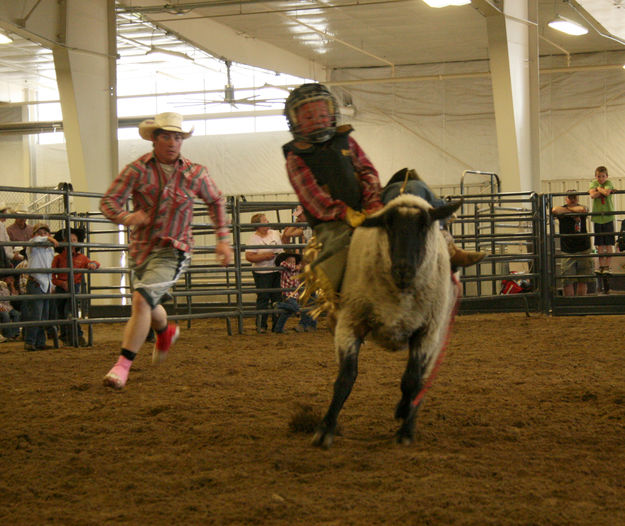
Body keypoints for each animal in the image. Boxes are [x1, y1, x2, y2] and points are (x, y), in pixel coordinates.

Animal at [312, 194, 464, 450]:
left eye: (424, 225)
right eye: (388, 224)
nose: (403, 269)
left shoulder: (427, 332)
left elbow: (411, 380)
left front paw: (405, 428)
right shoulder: (350, 322)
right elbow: (345, 378)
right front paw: (325, 430)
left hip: (439, 331)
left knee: (421, 378)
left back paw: (407, 414)